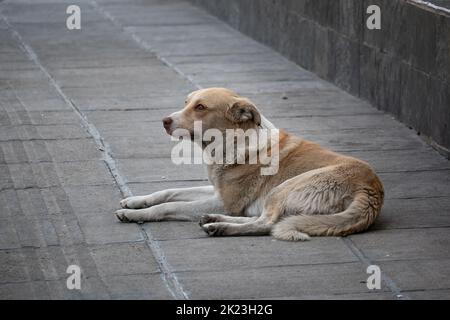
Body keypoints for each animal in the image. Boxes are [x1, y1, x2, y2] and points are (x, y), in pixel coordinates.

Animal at [116, 87, 384, 240]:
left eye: (200, 107)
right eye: (186, 103)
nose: (164, 121)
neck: (234, 141)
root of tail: (372, 191)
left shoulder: (226, 201)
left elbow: (167, 206)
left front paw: (134, 214)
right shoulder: (217, 192)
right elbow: (169, 191)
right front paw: (135, 201)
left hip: (284, 187)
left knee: (267, 224)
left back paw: (221, 227)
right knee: (261, 219)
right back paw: (213, 220)